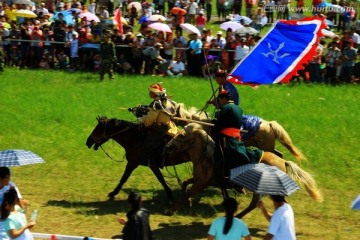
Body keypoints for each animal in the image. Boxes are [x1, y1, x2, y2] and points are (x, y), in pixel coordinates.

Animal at [166, 126, 324, 218]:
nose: (168, 146)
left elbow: (186, 193)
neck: (207, 157)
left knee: (256, 204)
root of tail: (283, 163)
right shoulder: (200, 180)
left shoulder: (201, 184)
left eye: (181, 136)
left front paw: (172, 209)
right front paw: (187, 203)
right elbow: (184, 184)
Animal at [174, 103, 306, 163]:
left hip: (266, 147)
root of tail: (269, 124)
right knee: (279, 154)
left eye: (174, 112)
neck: (205, 124)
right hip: (268, 146)